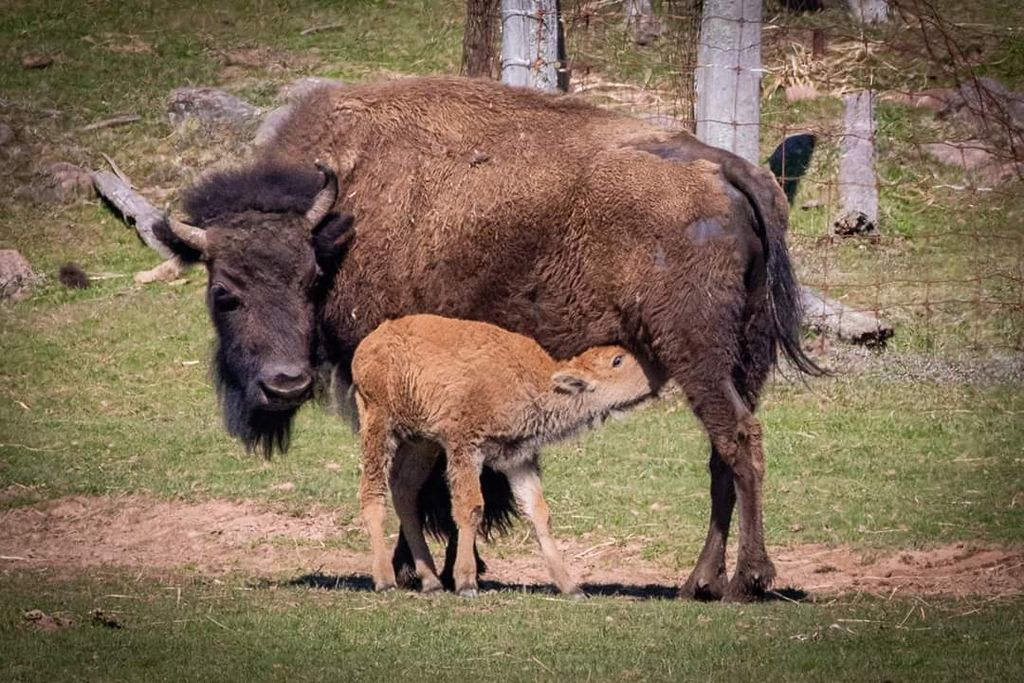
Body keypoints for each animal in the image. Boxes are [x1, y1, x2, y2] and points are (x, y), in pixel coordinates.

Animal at [352, 317, 655, 598]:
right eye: (618, 360)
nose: (654, 375)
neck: (535, 381)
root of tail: (368, 344)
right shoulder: (465, 449)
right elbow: (471, 508)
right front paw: (466, 583)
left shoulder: (518, 460)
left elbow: (538, 513)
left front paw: (571, 588)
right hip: (378, 425)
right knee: (372, 493)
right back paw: (385, 580)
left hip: (423, 443)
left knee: (404, 489)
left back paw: (432, 582)